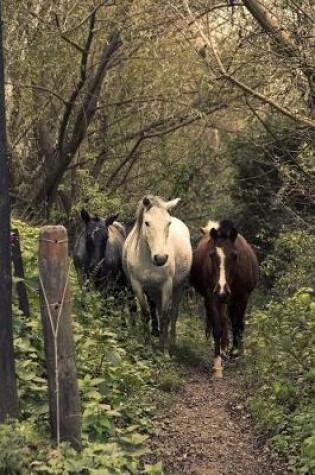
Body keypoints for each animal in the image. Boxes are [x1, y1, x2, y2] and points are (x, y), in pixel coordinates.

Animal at [123, 195, 193, 356]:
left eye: (168, 223)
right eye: (147, 223)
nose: (161, 258)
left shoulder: (167, 285)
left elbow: (166, 316)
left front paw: (165, 352)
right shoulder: (137, 285)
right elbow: (146, 314)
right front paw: (147, 347)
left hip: (178, 287)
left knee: (173, 314)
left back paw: (170, 342)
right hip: (154, 291)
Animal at [190, 220, 260, 380]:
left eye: (234, 256)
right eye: (212, 255)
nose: (222, 290)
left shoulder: (242, 298)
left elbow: (238, 325)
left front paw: (236, 353)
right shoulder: (212, 298)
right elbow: (217, 327)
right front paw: (217, 366)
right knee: (222, 320)